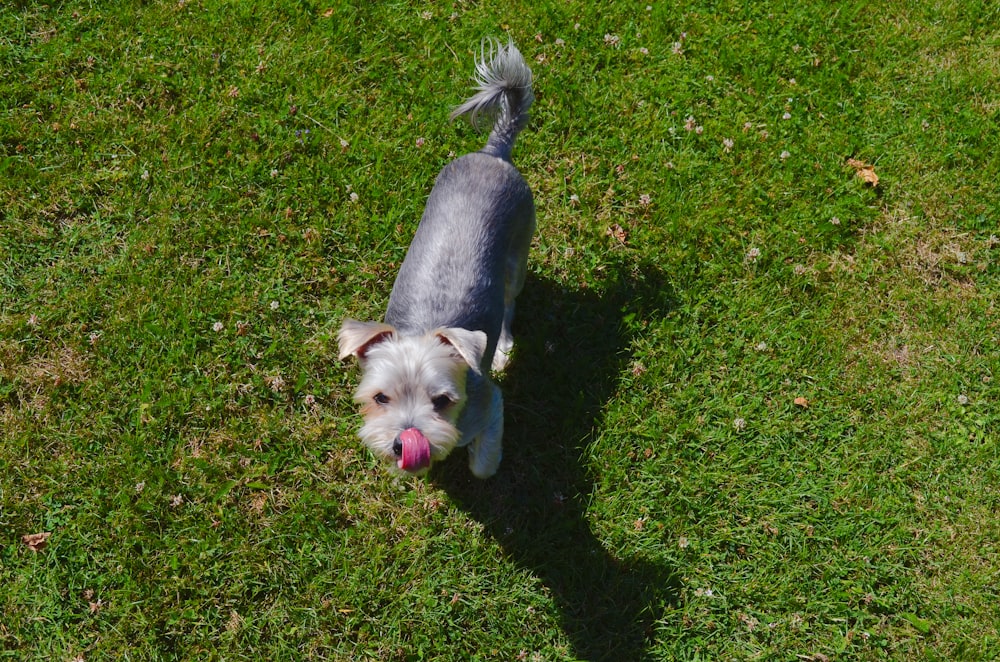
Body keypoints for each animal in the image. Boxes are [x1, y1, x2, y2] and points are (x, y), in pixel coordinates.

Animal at [338, 39, 540, 480]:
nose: (404, 443)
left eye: (443, 401)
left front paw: (483, 464)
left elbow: (483, 463)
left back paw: (504, 347)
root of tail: (494, 152)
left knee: (510, 303)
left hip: (517, 255)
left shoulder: (490, 404)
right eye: (380, 398)